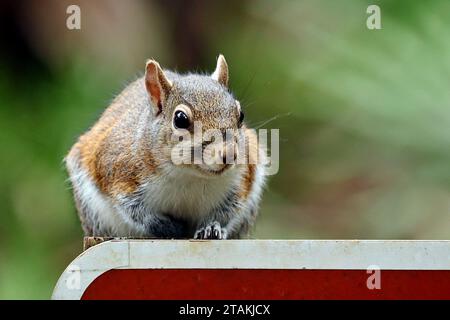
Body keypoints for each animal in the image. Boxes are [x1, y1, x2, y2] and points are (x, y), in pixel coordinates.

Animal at [65, 55, 266, 239]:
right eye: (180, 119)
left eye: (240, 115)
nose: (229, 154)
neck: (189, 175)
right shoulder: (120, 175)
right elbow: (133, 210)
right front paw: (166, 226)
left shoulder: (241, 182)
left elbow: (226, 212)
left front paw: (211, 228)